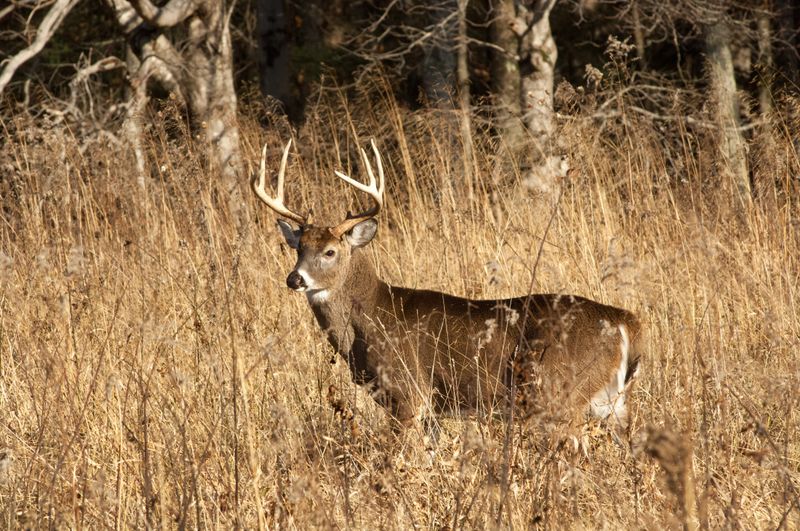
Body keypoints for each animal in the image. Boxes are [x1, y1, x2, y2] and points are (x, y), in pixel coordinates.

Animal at [254, 139, 643, 445]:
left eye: (330, 251)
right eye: (298, 247)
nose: (295, 279)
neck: (373, 319)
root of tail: (623, 321)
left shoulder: (407, 394)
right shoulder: (432, 411)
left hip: (558, 392)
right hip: (613, 402)